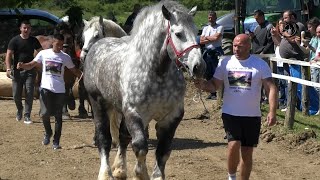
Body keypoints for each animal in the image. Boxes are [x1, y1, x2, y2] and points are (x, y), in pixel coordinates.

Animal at [84, 0, 206, 179]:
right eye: (178, 34)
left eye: (197, 32)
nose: (199, 67)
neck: (157, 72)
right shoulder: (134, 114)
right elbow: (140, 148)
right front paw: (140, 174)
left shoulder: (171, 117)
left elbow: (163, 151)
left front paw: (157, 175)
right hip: (98, 103)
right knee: (104, 140)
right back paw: (106, 173)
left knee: (122, 137)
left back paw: (120, 169)